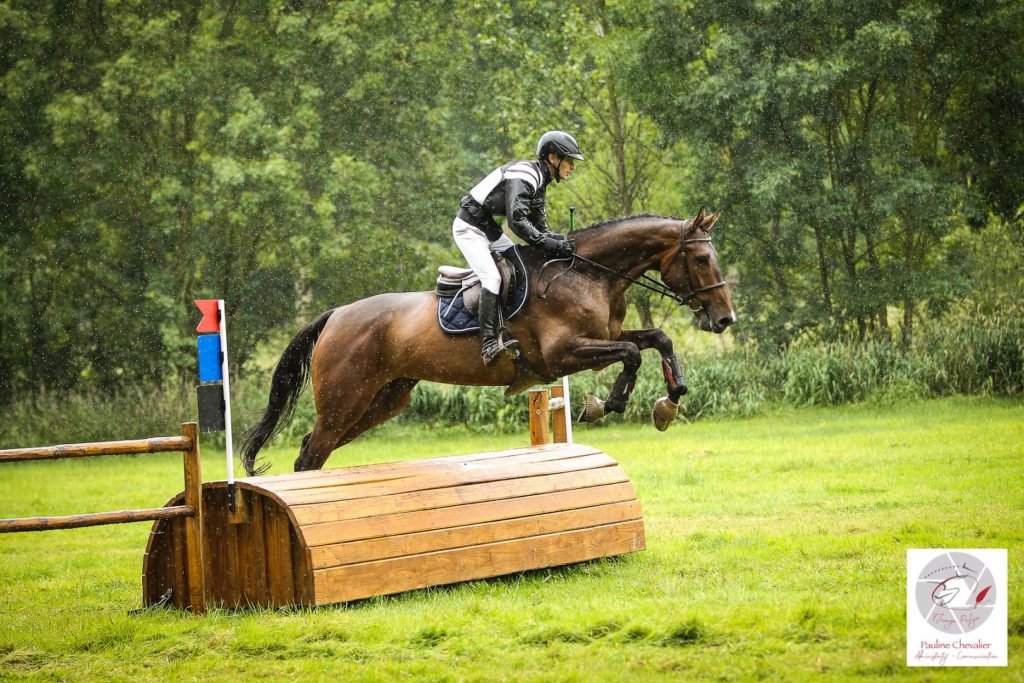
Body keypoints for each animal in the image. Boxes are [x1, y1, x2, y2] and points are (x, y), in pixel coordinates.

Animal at [239, 208, 737, 475]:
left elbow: (657, 339)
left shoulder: (601, 340)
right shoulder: (562, 355)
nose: (724, 318)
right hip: (345, 400)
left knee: (314, 447)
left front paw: (669, 401)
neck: (587, 273)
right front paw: (606, 405)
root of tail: (336, 315)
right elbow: (633, 354)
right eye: (700, 258)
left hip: (382, 401)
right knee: (311, 453)